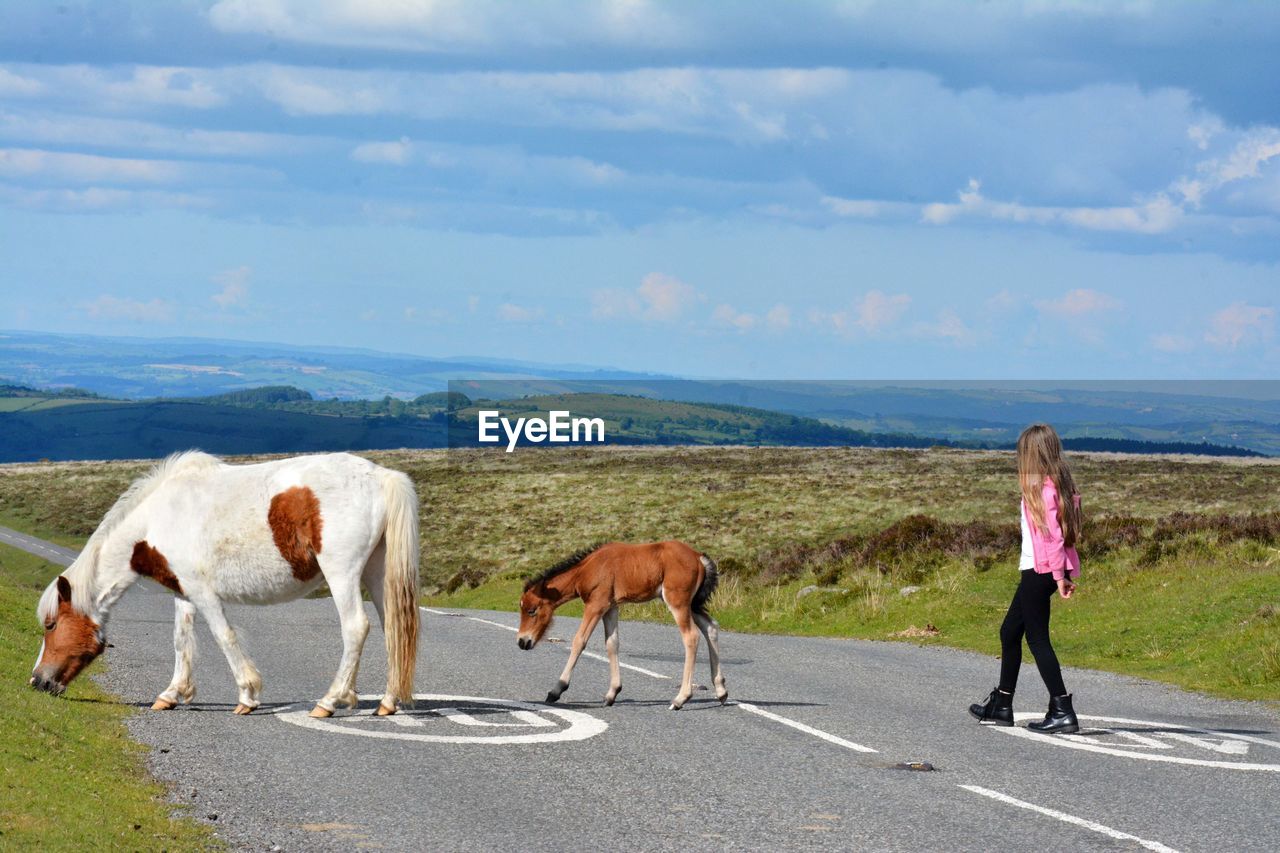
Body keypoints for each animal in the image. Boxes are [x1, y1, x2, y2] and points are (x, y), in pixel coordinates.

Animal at [31, 448, 419, 712]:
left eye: (51, 625)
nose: (37, 681)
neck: (158, 518)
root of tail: (382, 477)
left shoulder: (203, 592)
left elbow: (223, 636)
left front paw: (247, 694)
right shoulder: (184, 592)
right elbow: (181, 640)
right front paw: (172, 694)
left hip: (342, 574)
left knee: (355, 627)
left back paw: (329, 701)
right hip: (376, 574)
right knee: (393, 629)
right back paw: (387, 702)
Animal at [512, 540, 727, 706]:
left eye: (531, 610)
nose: (522, 642)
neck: (587, 569)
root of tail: (698, 557)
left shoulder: (596, 605)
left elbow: (579, 641)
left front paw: (556, 690)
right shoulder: (611, 607)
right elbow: (612, 644)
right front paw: (612, 693)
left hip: (677, 602)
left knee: (691, 636)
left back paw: (681, 698)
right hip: (693, 604)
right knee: (711, 627)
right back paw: (721, 691)